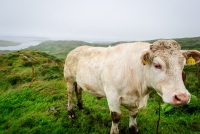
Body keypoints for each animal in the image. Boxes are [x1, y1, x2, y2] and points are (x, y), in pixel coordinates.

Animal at [63, 40, 200, 134]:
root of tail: (77, 48)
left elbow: (134, 115)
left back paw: (81, 107)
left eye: (183, 65)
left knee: (79, 90)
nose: (182, 97)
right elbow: (116, 116)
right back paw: (71, 113)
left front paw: (134, 129)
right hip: (69, 78)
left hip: (80, 80)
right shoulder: (112, 95)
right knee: (70, 94)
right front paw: (114, 131)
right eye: (157, 65)